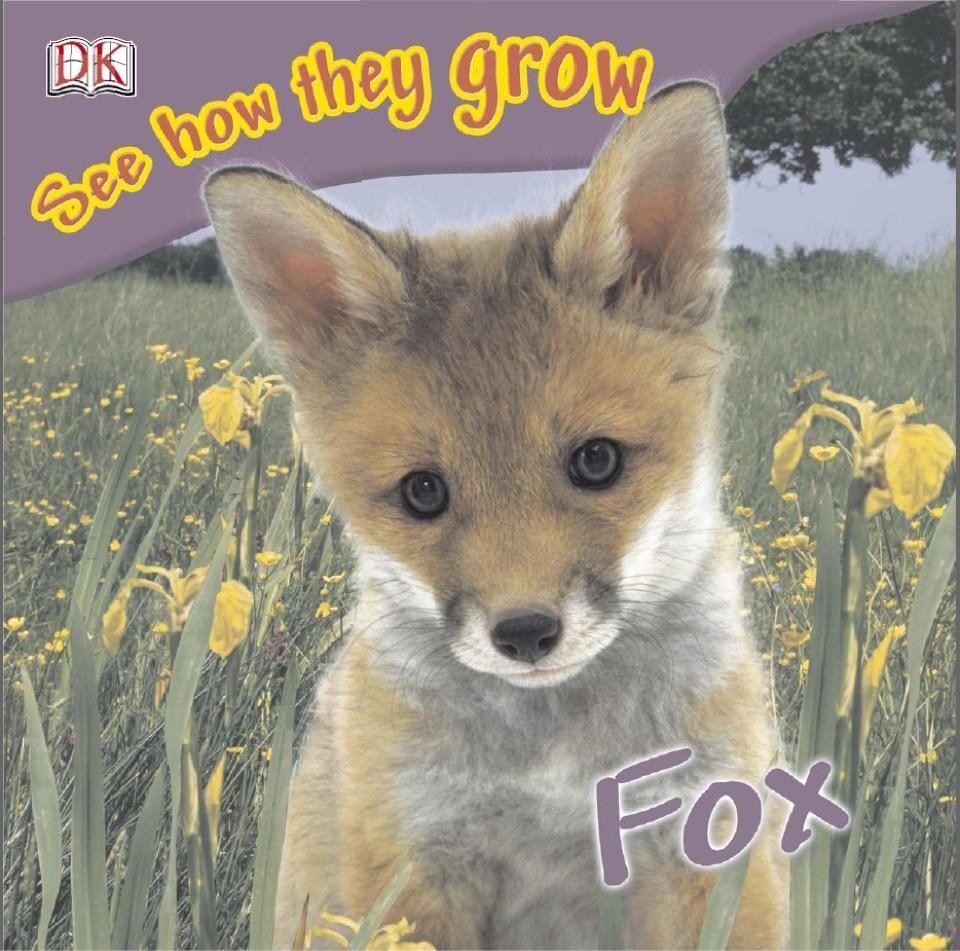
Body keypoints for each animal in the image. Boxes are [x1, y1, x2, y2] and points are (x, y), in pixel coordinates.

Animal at [204, 81, 789, 950]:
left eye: (596, 461)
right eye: (423, 492)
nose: (525, 632)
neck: (558, 772)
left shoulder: (709, 846)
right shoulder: (410, 872)